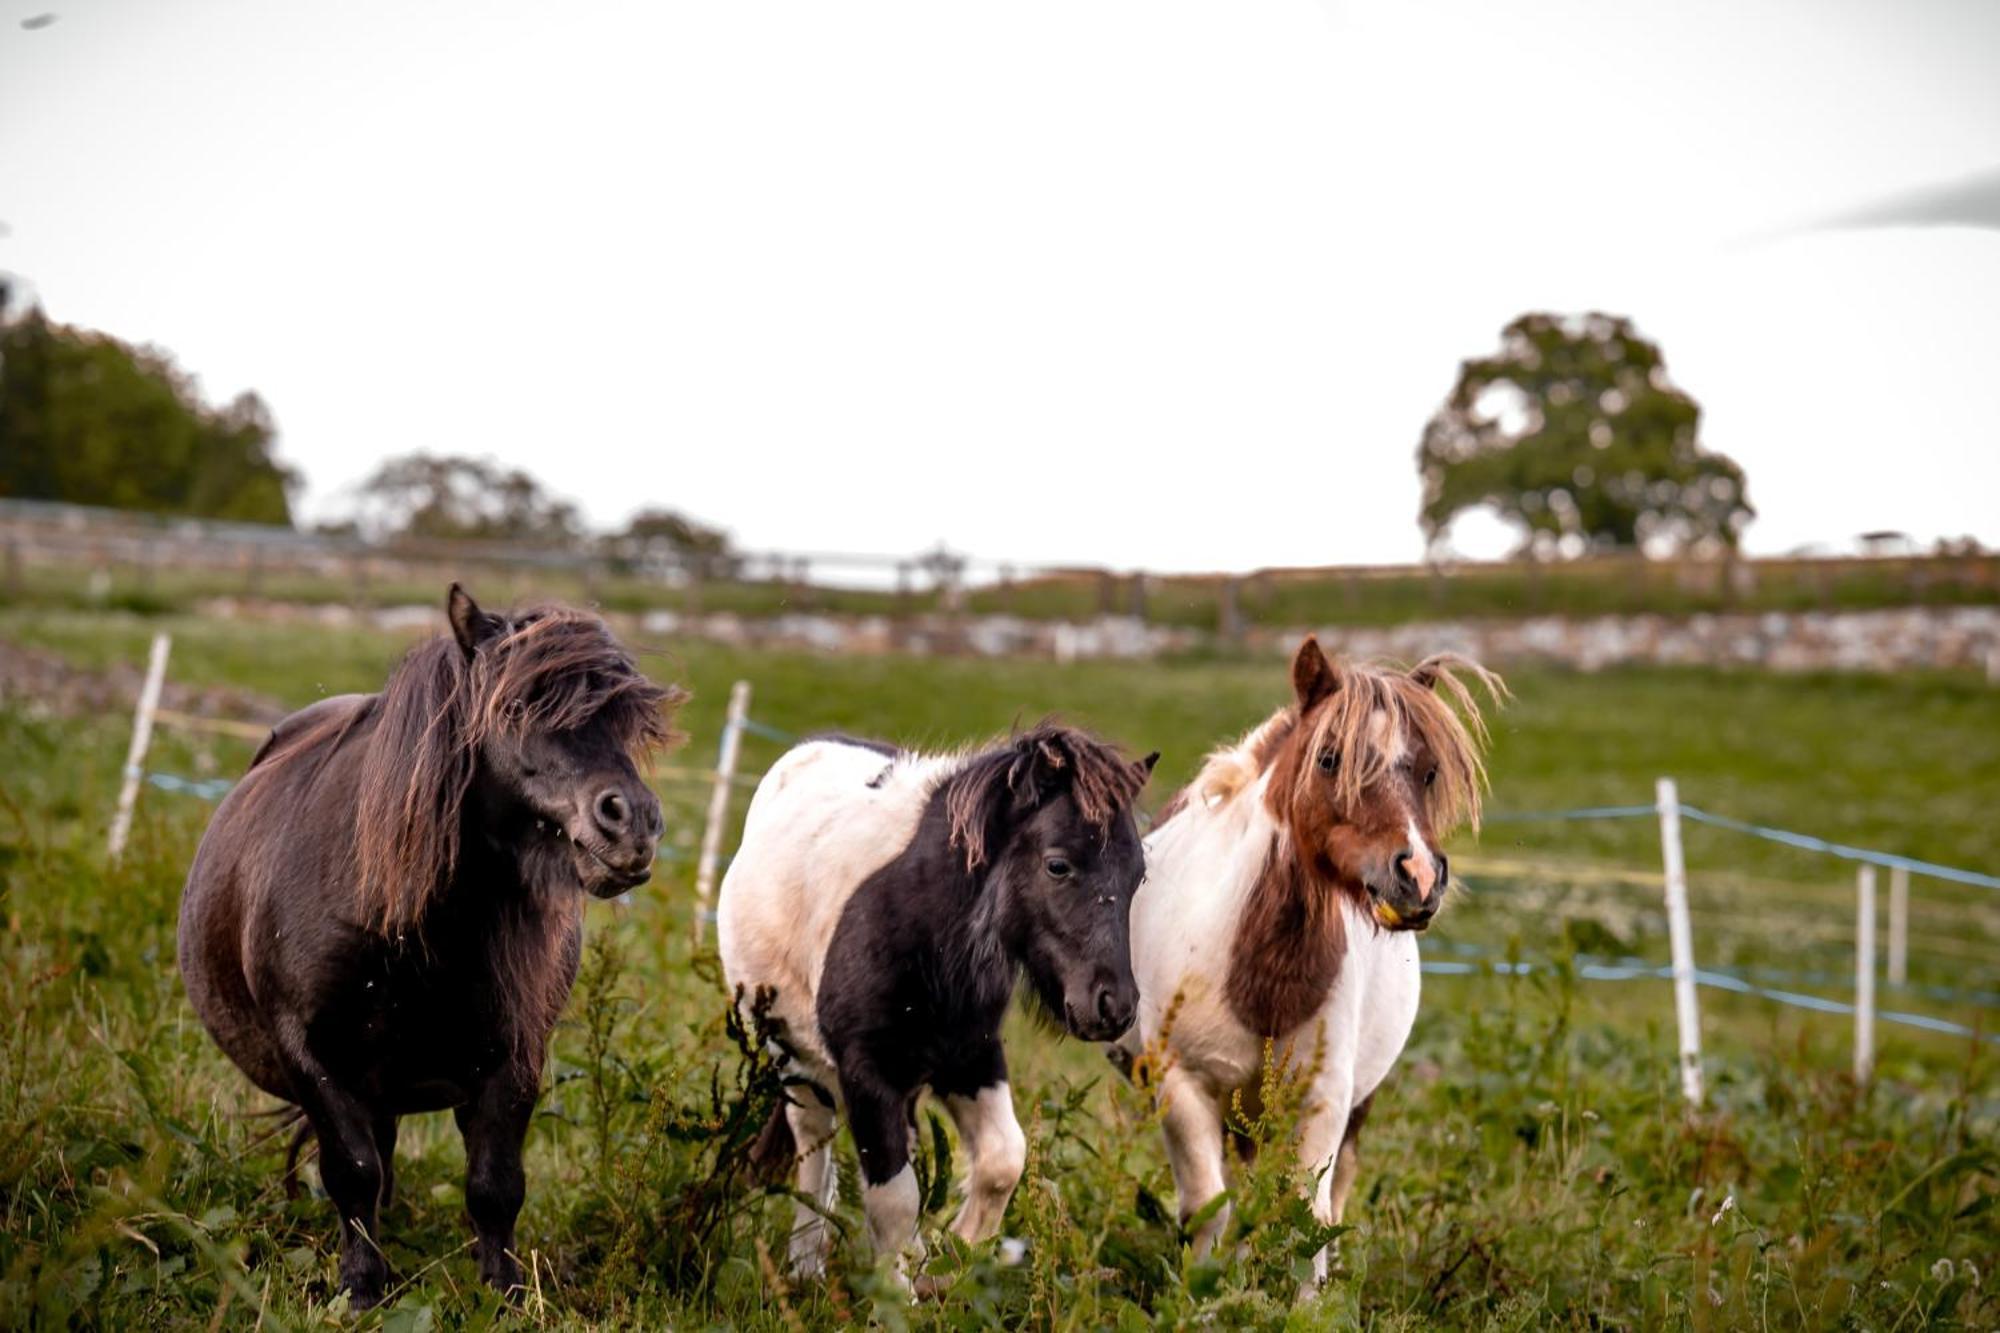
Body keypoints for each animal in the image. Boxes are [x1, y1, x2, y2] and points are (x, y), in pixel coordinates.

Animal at [178, 588, 688, 1304]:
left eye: (625, 722)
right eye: (515, 707)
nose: (633, 824)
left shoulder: (515, 1057)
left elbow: (495, 1185)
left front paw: (504, 1294)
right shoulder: (312, 1055)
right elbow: (353, 1171)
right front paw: (362, 1290)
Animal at [720, 728, 1160, 1280]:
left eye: (1137, 876)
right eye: (1058, 865)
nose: (1113, 1006)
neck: (919, 926)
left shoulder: (969, 1056)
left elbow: (1002, 1161)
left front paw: (952, 1254)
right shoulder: (867, 1071)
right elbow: (894, 1199)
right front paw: (900, 1291)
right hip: (793, 1057)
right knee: (813, 1141)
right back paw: (805, 1266)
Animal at [1120, 632, 1496, 1288]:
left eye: (1428, 771)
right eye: (1328, 759)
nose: (1420, 878)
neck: (1259, 976)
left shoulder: (1324, 1098)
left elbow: (1308, 1214)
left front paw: (1311, 1299)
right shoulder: (1183, 1087)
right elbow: (1208, 1207)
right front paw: (1205, 1293)